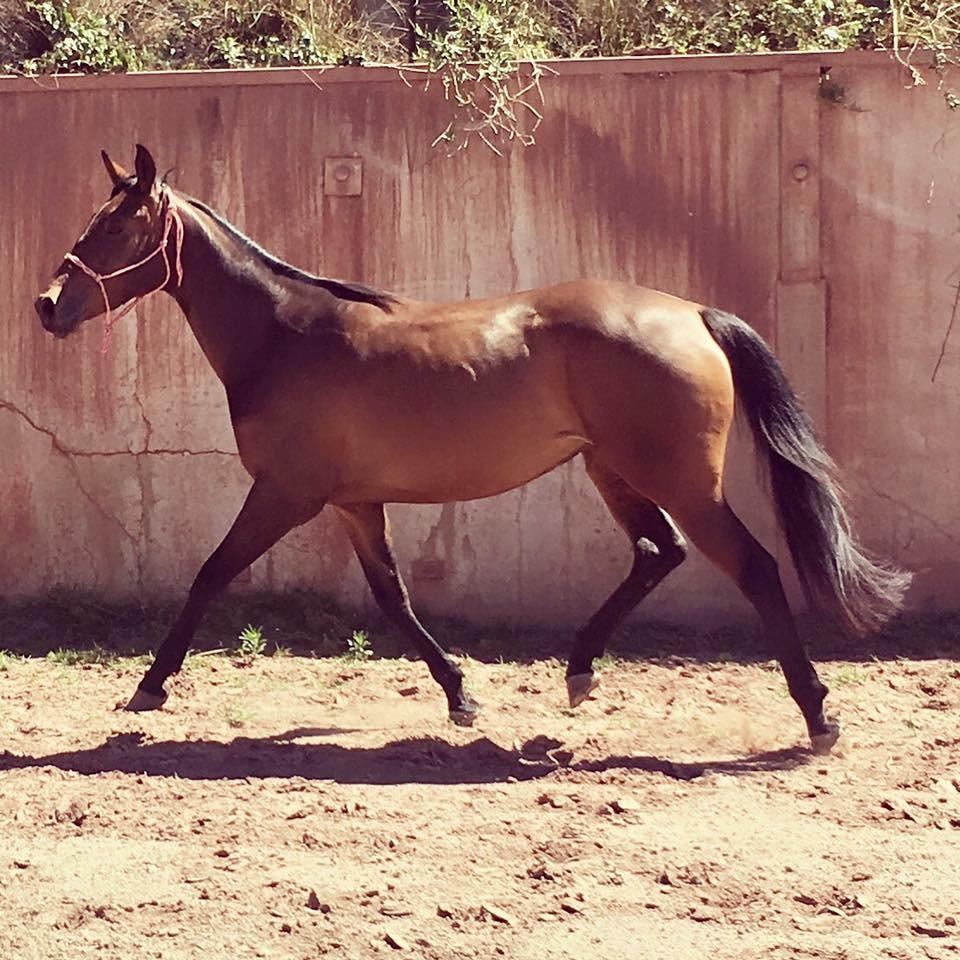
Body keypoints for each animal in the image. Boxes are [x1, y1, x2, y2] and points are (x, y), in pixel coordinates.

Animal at [35, 145, 910, 754]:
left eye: (118, 226)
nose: (48, 305)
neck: (284, 337)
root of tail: (693, 313)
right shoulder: (354, 501)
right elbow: (393, 598)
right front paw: (460, 694)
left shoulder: (286, 493)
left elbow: (211, 574)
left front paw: (149, 687)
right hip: (611, 468)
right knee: (658, 554)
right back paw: (579, 671)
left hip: (680, 479)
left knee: (752, 567)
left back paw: (817, 716)